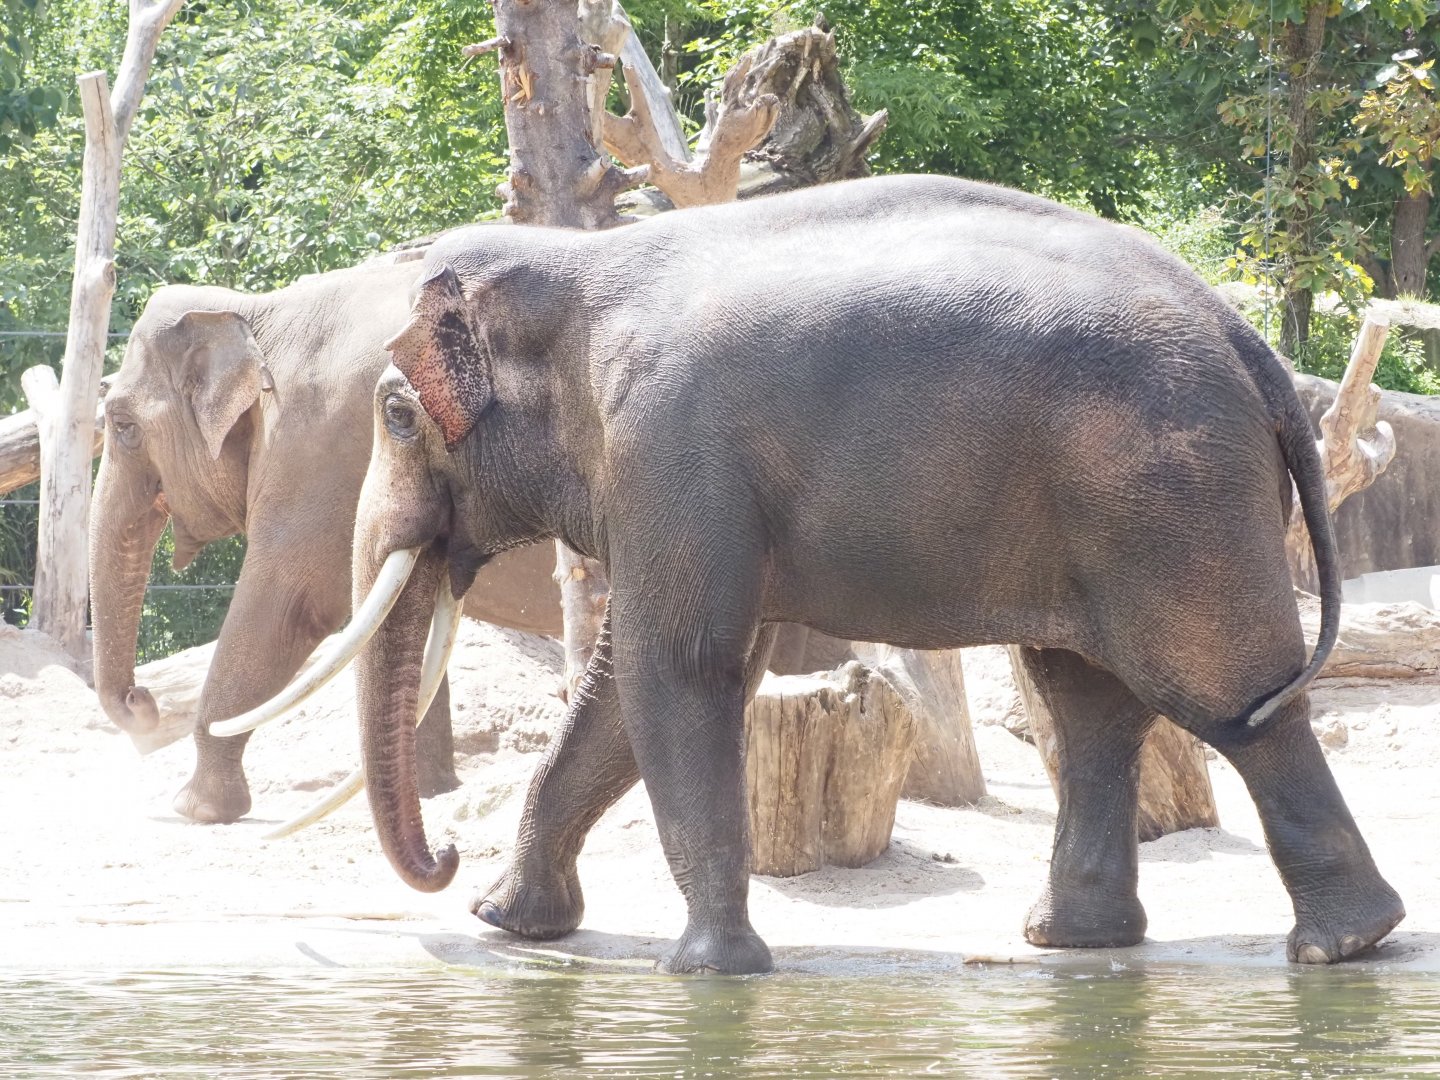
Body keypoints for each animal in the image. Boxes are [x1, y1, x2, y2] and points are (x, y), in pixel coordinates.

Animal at [89, 257, 565, 824]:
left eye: (122, 425)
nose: (142, 702)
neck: (256, 313)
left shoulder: (317, 453)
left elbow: (290, 605)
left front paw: (196, 809)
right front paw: (429, 794)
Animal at [343, 172, 1404, 974]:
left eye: (395, 414)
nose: (445, 857)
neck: (579, 264)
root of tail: (1246, 340)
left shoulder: (669, 446)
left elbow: (674, 669)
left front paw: (711, 975)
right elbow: (633, 688)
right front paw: (506, 923)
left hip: (1169, 497)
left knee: (1232, 697)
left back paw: (1343, 947)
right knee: (1091, 702)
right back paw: (1076, 942)